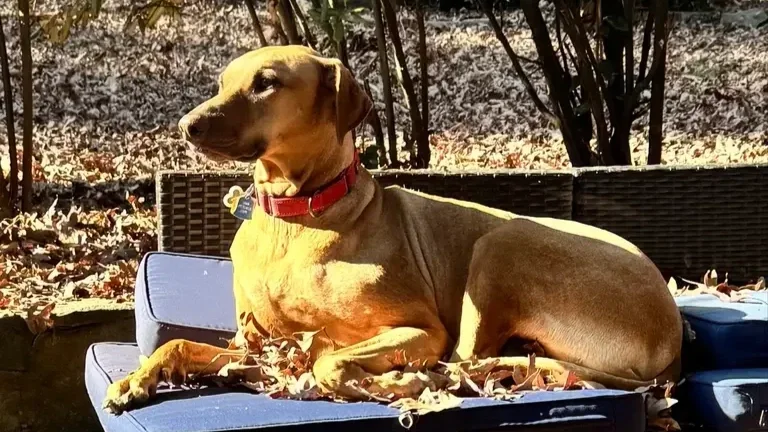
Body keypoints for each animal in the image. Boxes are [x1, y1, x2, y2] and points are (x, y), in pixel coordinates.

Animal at [103, 45, 682, 413]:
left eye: (266, 83)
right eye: (222, 83)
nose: (187, 126)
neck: (297, 216)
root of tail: (672, 335)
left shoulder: (420, 329)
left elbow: (331, 359)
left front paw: (383, 379)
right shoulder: (257, 347)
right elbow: (179, 344)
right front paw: (135, 379)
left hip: (503, 244)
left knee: (465, 361)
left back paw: (415, 378)